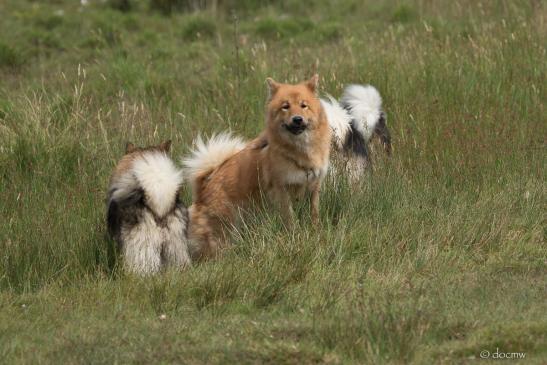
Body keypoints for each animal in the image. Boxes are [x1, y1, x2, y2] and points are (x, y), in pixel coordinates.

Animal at [184, 74, 332, 258]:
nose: (297, 119)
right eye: (285, 107)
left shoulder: (313, 186)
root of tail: (201, 192)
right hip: (225, 223)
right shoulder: (281, 189)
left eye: (304, 105)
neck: (299, 151)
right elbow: (289, 217)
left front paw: (316, 231)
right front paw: (294, 234)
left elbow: (314, 213)